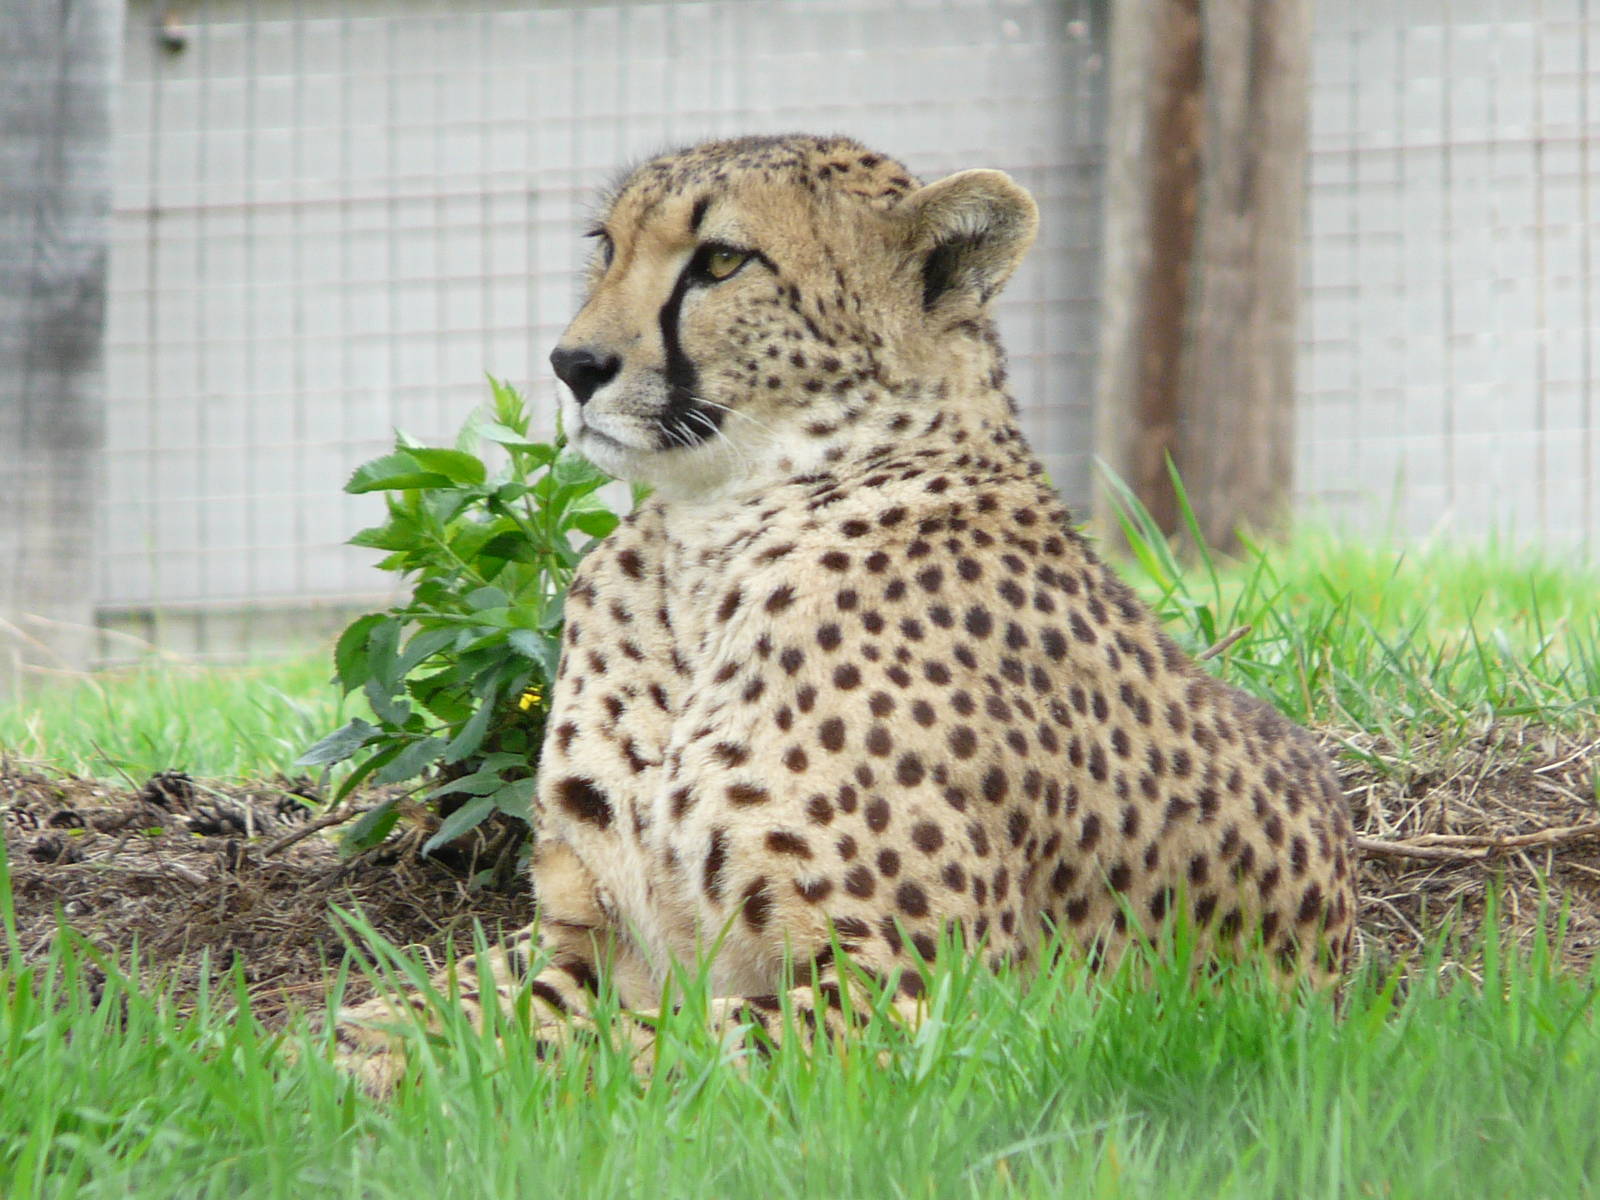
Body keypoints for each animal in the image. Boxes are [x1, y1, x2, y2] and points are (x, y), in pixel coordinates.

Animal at [334, 133, 1357, 1087]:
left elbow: (629, 1050)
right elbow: (449, 1001)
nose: (573, 363)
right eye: (607, 246)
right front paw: (334, 1055)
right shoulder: (588, 936)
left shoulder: (932, 995)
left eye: (720, 260)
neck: (712, 540)